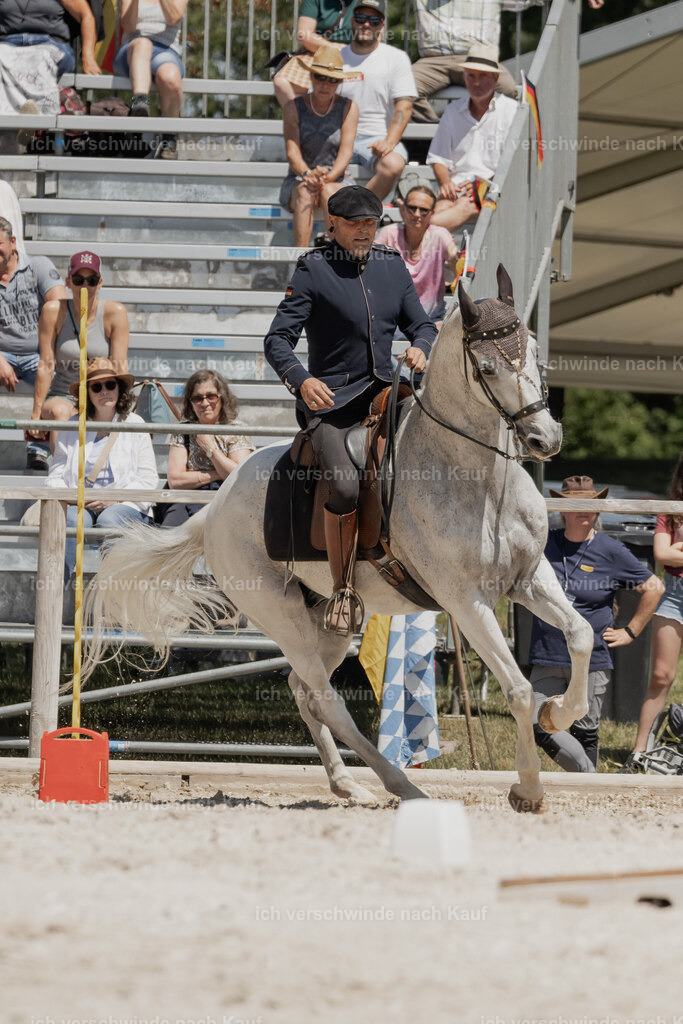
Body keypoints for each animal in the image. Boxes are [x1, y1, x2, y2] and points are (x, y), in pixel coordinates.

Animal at [81, 266, 593, 812]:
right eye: (488, 367)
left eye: (533, 352)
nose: (545, 439)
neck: (477, 480)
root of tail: (214, 511)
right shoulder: (465, 601)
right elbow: (518, 690)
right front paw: (528, 788)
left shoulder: (527, 579)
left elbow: (580, 635)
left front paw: (558, 713)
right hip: (281, 615)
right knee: (326, 700)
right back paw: (402, 785)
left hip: (327, 619)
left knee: (304, 689)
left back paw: (348, 783)